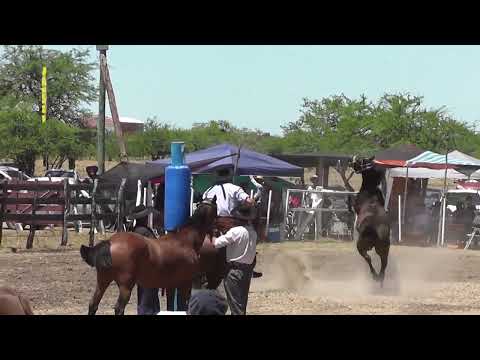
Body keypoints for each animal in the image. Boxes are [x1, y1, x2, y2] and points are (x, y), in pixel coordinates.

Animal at [81, 197, 219, 316]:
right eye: (216, 210)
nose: (217, 231)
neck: (185, 240)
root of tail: (110, 242)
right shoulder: (186, 283)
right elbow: (187, 306)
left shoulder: (173, 284)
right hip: (125, 287)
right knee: (118, 308)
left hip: (103, 281)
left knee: (93, 305)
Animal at [348, 155, 390, 286]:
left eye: (361, 160)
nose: (351, 160)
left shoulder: (356, 205)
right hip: (384, 247)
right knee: (384, 262)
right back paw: (381, 278)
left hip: (361, 246)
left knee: (368, 258)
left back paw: (375, 276)